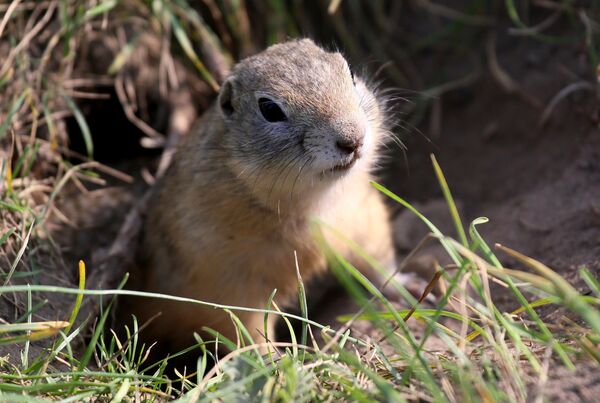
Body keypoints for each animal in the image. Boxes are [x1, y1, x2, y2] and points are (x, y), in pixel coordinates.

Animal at [127, 38, 398, 354]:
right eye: (269, 109)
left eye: (351, 74)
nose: (353, 139)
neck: (312, 201)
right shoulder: (233, 287)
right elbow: (248, 331)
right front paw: (277, 360)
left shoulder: (363, 218)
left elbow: (378, 263)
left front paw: (409, 286)